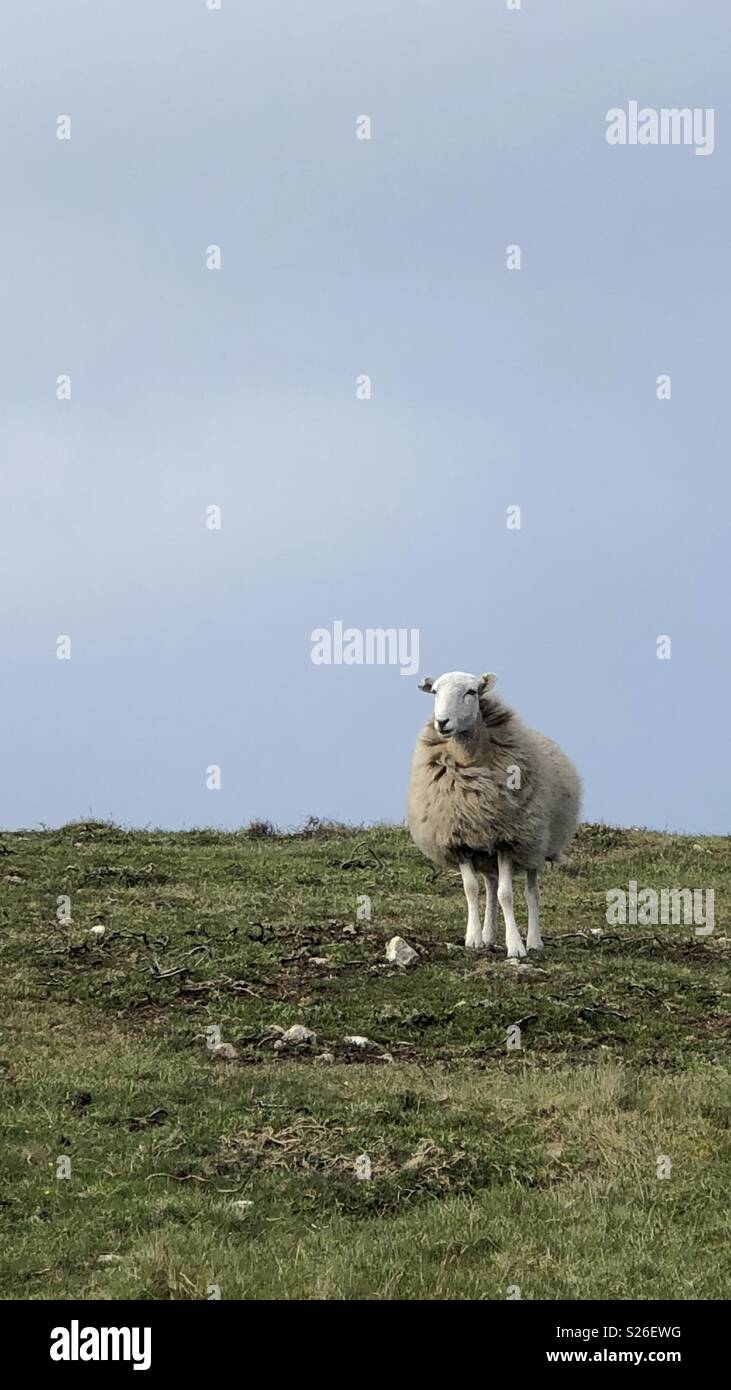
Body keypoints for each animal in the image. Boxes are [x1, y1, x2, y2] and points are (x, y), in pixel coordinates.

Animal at [406, 671, 581, 957]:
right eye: (434, 692)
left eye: (471, 692)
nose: (442, 722)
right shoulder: (460, 840)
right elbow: (471, 889)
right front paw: (474, 939)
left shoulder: (507, 840)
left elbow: (506, 894)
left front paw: (516, 946)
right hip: (486, 852)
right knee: (489, 886)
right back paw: (488, 936)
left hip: (533, 845)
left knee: (531, 892)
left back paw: (534, 941)